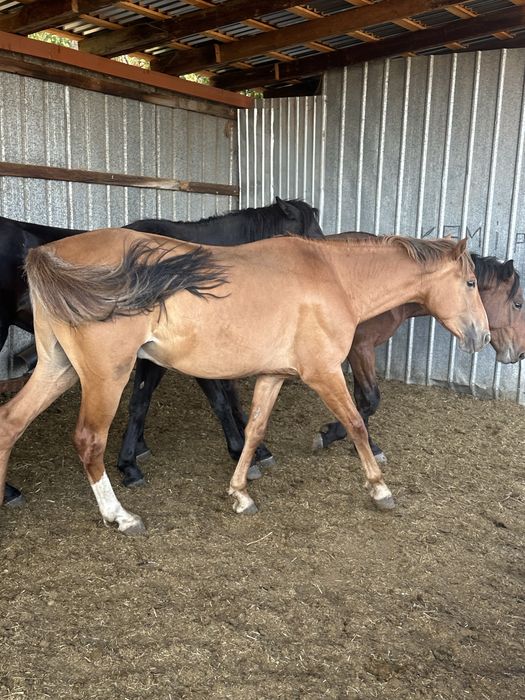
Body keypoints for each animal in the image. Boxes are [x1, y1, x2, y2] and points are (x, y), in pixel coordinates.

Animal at [0, 229, 489, 533]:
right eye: (470, 282)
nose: (482, 337)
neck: (333, 275)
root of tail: (48, 254)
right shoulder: (324, 373)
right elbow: (355, 423)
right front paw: (380, 488)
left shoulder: (273, 375)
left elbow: (254, 431)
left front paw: (240, 493)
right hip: (105, 377)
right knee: (88, 441)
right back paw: (121, 516)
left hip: (57, 368)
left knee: (10, 422)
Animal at [312, 232, 525, 462]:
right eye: (518, 304)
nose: (521, 352)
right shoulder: (361, 348)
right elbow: (371, 399)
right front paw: (330, 434)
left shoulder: (361, 351)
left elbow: (362, 400)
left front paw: (368, 446)